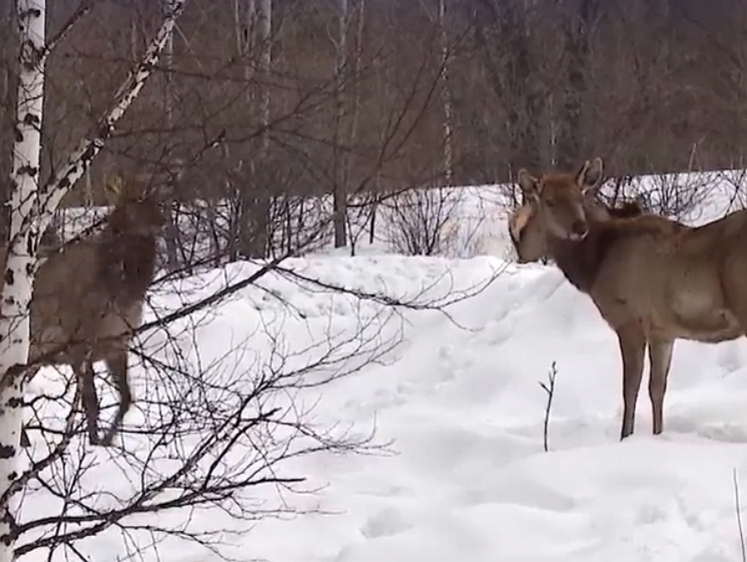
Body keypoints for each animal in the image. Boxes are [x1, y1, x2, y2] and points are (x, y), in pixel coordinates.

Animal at [10, 175, 166, 446]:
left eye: (155, 196)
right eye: (134, 199)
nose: (162, 220)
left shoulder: (117, 344)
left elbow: (126, 398)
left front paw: (105, 441)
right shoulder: (77, 343)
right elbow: (91, 402)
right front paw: (95, 443)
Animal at [508, 155, 744, 440]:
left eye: (579, 197)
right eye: (550, 201)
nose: (579, 227)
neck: (594, 264)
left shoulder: (629, 319)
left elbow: (629, 389)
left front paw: (625, 437)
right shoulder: (662, 330)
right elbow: (657, 388)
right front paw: (657, 435)